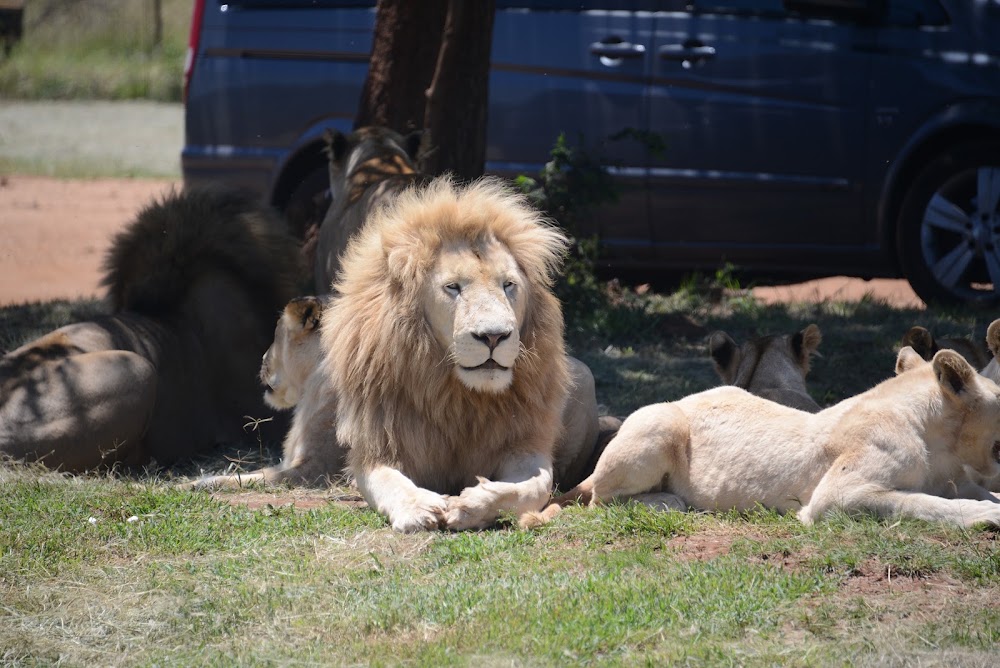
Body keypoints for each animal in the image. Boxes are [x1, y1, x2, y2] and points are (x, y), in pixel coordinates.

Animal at [553, 347, 1000, 528]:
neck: (944, 445)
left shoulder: (957, 477)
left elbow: (964, 492)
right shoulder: (835, 497)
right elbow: (921, 503)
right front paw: (986, 517)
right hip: (659, 421)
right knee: (599, 498)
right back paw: (668, 501)